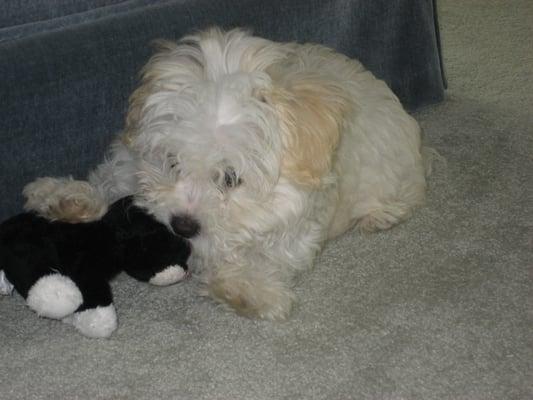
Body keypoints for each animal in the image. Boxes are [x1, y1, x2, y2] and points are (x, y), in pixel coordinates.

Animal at [23, 28, 428, 320]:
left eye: (230, 178)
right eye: (172, 162)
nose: (183, 226)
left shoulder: (297, 221)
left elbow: (260, 251)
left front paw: (244, 288)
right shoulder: (131, 160)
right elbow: (115, 179)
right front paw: (65, 196)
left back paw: (380, 216)